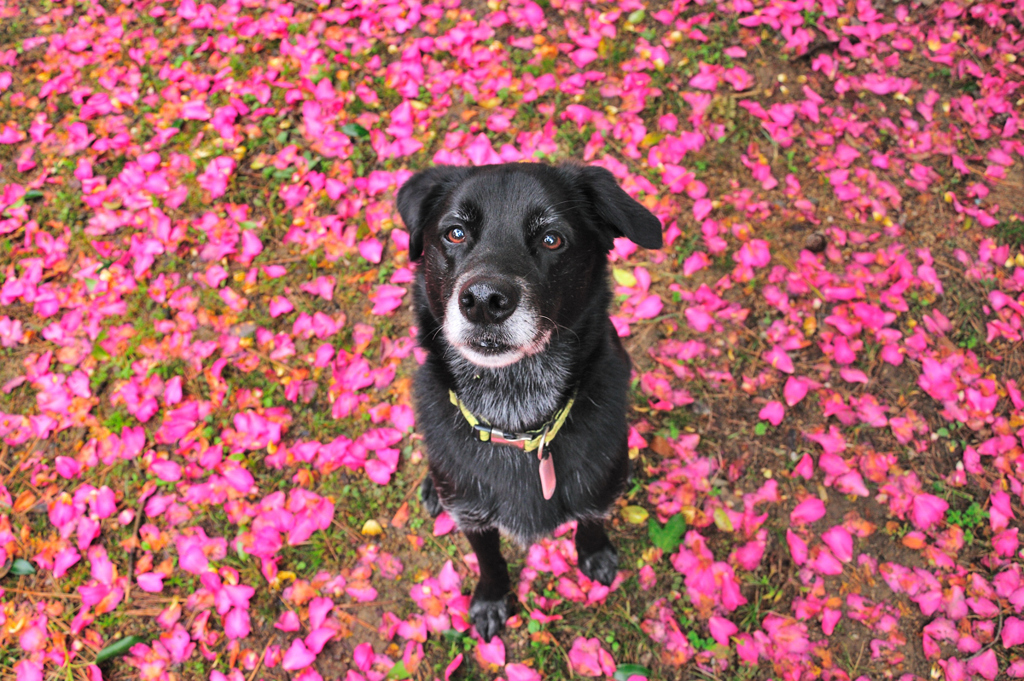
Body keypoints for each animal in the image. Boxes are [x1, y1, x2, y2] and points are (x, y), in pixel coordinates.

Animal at [395, 161, 659, 639]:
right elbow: (489, 558)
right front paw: (492, 598)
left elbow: (591, 520)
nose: (483, 301)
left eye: (552, 238)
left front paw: (594, 552)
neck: (516, 413)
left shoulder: (601, 487)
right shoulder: (472, 514)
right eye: (455, 233)